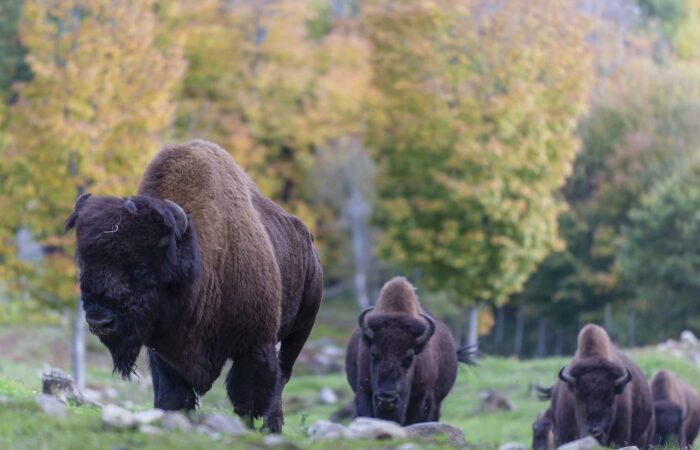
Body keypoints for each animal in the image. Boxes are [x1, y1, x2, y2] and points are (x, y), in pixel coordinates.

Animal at [65, 140, 323, 433]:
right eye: (85, 264)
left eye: (141, 267)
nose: (100, 322)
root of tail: (307, 239)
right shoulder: (165, 354)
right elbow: (173, 397)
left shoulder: (254, 346)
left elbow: (247, 401)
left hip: (301, 329)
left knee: (282, 376)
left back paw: (273, 427)